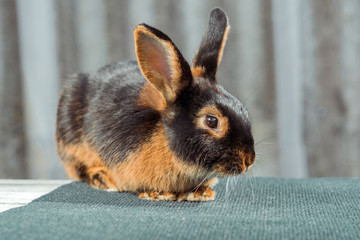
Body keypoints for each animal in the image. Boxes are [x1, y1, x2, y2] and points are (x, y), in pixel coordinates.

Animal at [56, 7, 255, 202]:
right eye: (211, 121)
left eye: (242, 109)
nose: (249, 160)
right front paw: (158, 194)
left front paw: (200, 193)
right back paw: (103, 178)